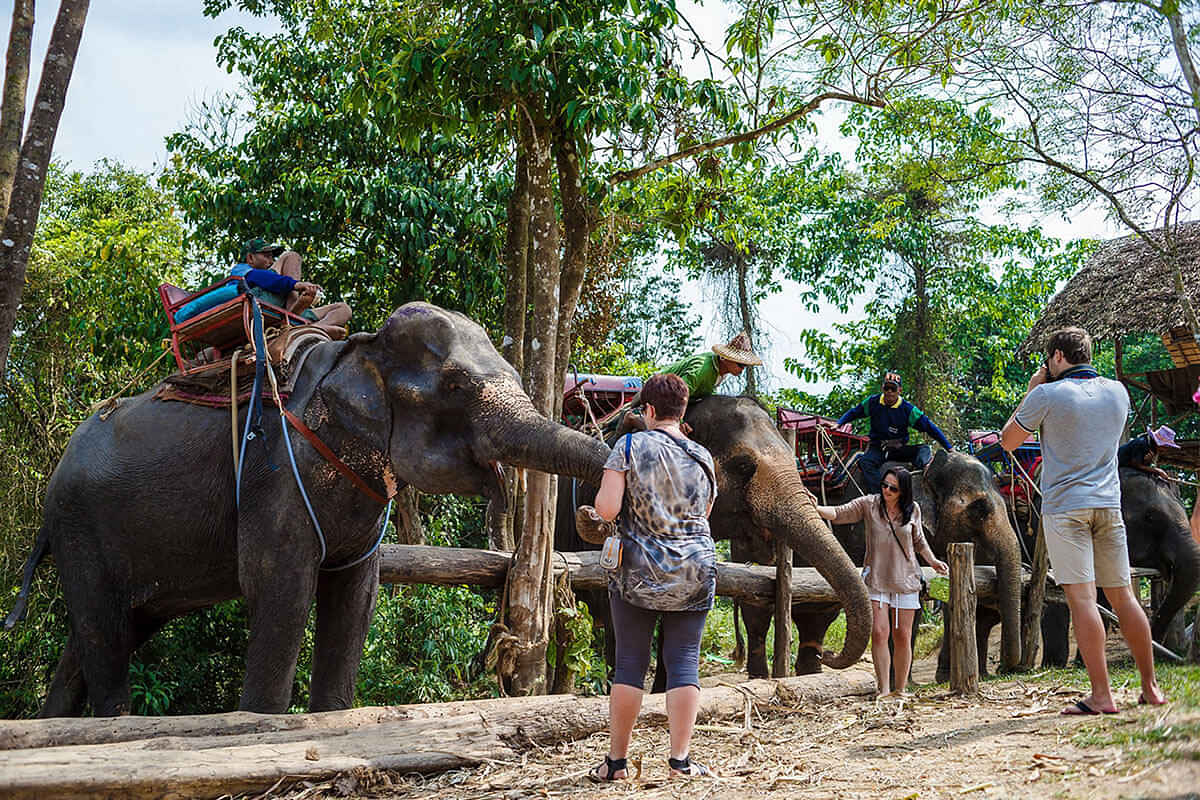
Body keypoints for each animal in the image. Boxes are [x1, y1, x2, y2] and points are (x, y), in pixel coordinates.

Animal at [7, 303, 609, 714]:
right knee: (104, 630)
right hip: (80, 527)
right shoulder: (274, 472)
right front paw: (259, 723)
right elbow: (282, 591)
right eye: (457, 386)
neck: (356, 351)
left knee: (101, 634)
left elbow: (355, 599)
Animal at [1032, 465, 1200, 666]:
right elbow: (1057, 596)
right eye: (1150, 517)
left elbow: (1101, 598)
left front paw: (1083, 662)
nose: (1157, 649)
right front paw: (1056, 664)